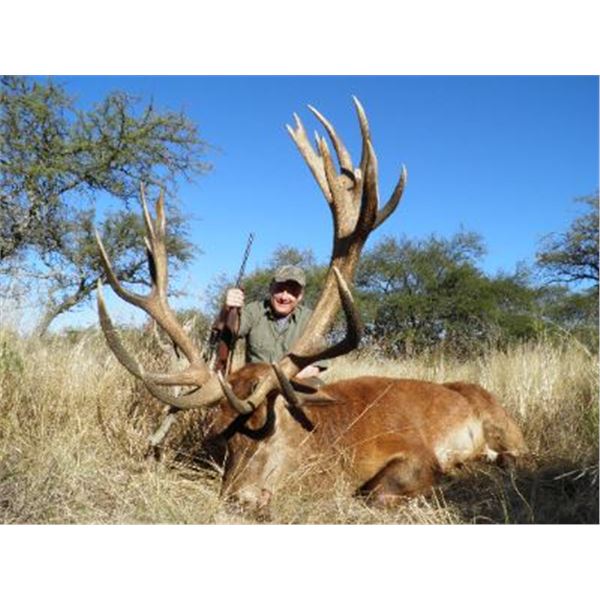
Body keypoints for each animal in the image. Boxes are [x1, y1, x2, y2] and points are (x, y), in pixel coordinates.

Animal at [95, 98, 527, 513]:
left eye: (269, 429)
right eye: (222, 439)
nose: (244, 499)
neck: (330, 440)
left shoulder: (414, 451)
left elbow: (378, 491)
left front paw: (445, 480)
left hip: (505, 425)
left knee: (513, 454)